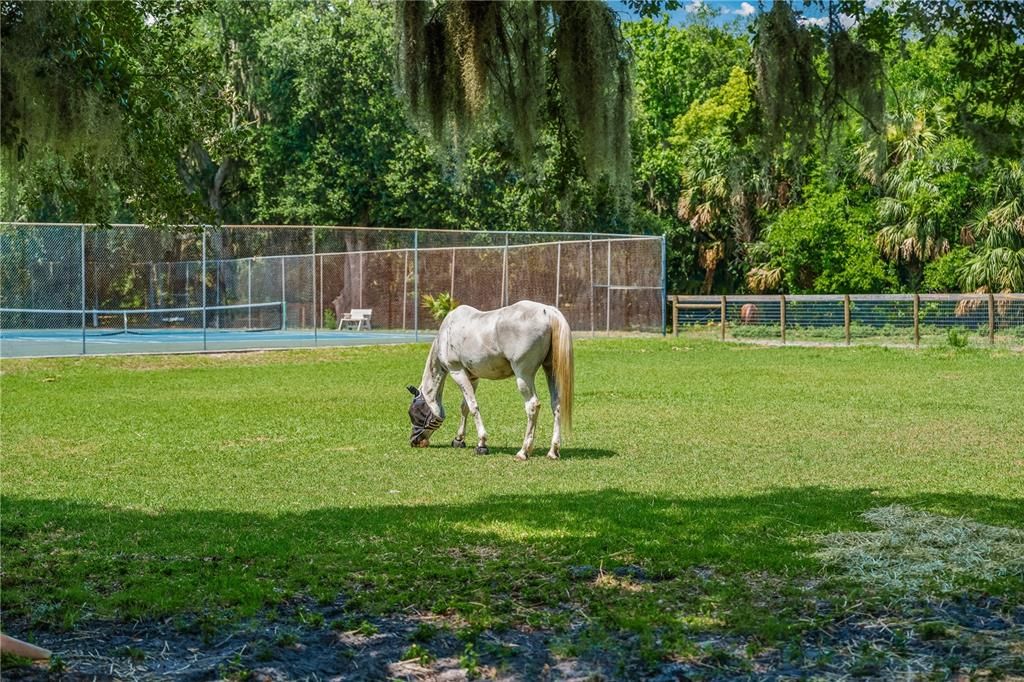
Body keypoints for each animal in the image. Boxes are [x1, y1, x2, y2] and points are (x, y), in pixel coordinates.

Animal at [407, 301, 573, 458]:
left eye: (413, 412)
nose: (414, 441)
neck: (447, 332)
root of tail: (548, 311)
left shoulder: (457, 371)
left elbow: (473, 407)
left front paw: (481, 443)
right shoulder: (473, 377)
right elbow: (465, 406)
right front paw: (459, 439)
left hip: (523, 375)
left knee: (532, 406)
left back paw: (523, 452)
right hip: (550, 370)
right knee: (556, 404)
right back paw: (553, 451)